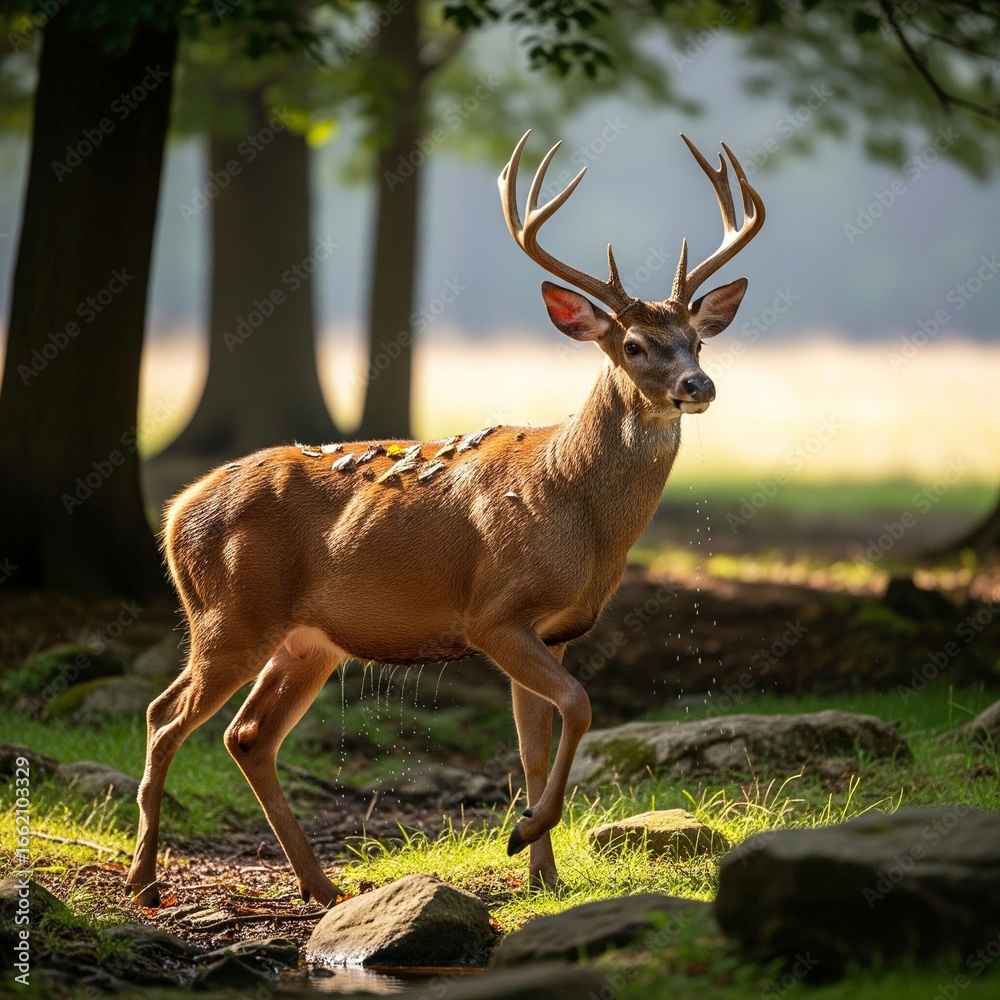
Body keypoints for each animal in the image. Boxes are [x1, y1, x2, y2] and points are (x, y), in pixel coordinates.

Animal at [126, 130, 764, 909]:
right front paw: (525, 836)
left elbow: (534, 742)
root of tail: (175, 511)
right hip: (230, 614)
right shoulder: (494, 613)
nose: (698, 385)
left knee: (247, 735)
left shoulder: (556, 631)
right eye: (634, 345)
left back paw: (321, 886)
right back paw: (145, 882)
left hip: (309, 640)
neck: (575, 506)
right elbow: (581, 707)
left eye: (698, 341)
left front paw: (543, 873)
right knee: (163, 717)